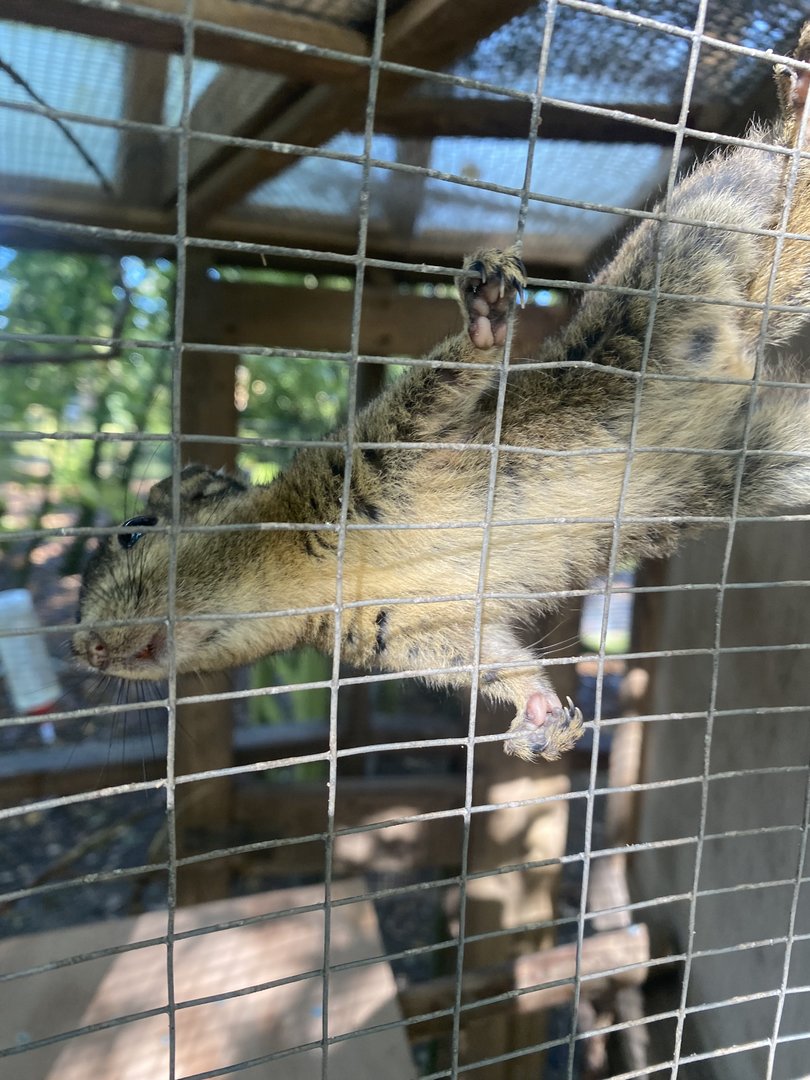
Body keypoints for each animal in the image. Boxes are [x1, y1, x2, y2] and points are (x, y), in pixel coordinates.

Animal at [73, 26, 810, 762]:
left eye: (134, 532)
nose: (83, 650)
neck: (302, 578)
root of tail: (741, 362)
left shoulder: (370, 452)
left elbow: (439, 387)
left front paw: (485, 325)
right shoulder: (412, 631)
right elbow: (492, 660)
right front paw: (540, 715)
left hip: (692, 241)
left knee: (757, 190)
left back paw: (795, 109)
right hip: (762, 455)